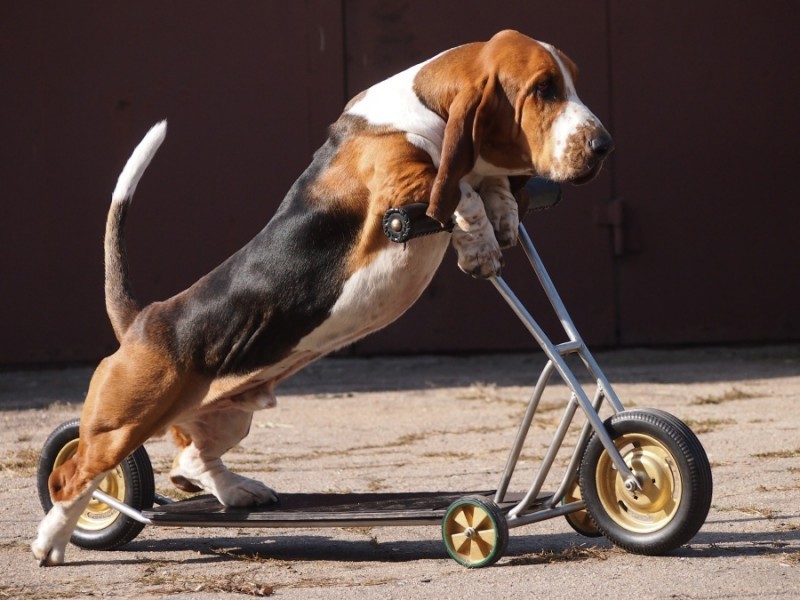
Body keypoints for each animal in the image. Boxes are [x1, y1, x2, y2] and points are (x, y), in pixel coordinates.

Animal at [32, 29, 612, 564]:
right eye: (543, 89)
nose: (604, 146)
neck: (422, 106)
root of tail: (143, 319)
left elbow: (486, 187)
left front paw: (503, 219)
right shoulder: (404, 184)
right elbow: (459, 192)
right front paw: (479, 243)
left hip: (229, 415)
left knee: (191, 461)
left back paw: (238, 491)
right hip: (122, 424)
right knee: (74, 476)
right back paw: (54, 539)